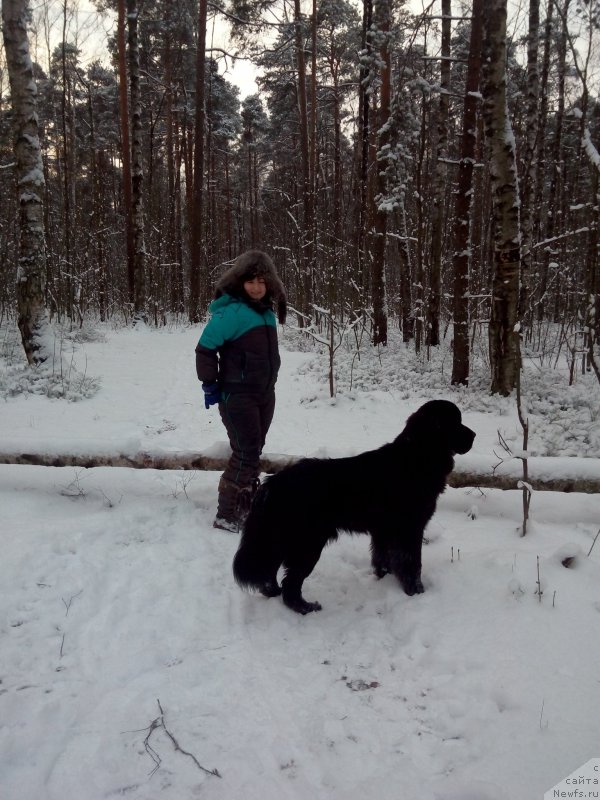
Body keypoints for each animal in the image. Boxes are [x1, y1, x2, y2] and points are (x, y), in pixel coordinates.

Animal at [232, 398, 476, 612]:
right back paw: (306, 608)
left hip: (281, 538)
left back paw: (273, 592)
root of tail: (273, 483)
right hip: (308, 543)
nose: (474, 435)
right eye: (455, 422)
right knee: (290, 583)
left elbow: (383, 557)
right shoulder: (409, 529)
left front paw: (385, 578)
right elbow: (412, 563)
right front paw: (415, 591)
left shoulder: (384, 531)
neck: (417, 457)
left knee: (269, 569)